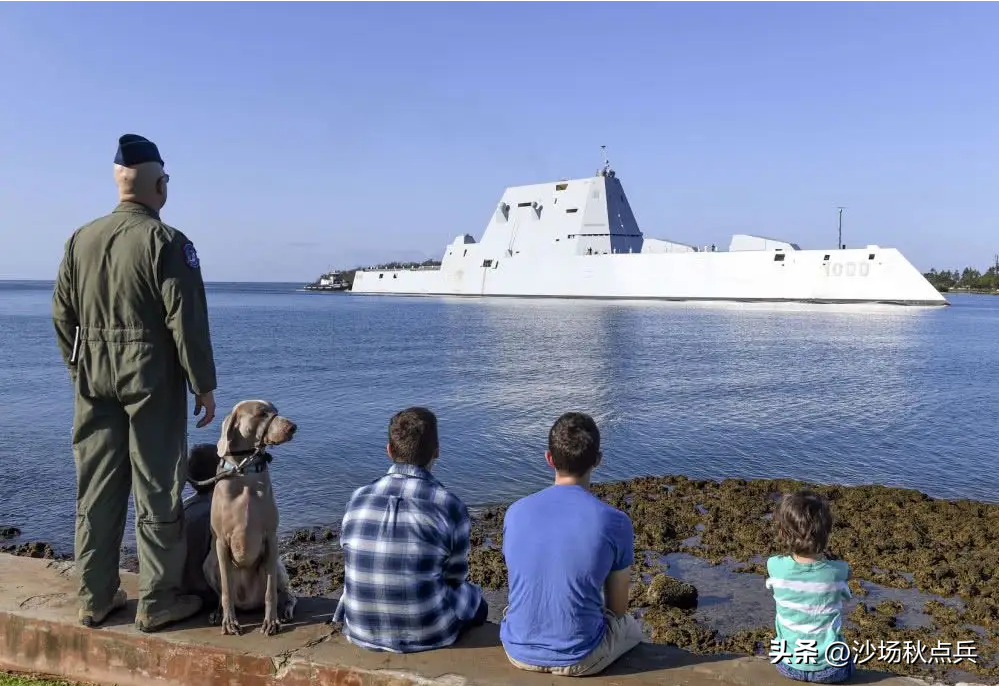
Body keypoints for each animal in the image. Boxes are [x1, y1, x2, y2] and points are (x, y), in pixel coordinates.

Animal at [201, 400, 296, 636]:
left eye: (276, 411)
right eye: (261, 413)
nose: (293, 427)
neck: (244, 471)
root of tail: (249, 604)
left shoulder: (270, 538)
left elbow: (270, 592)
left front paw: (271, 621)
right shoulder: (221, 542)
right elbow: (226, 590)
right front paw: (229, 622)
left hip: (276, 565)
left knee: (285, 593)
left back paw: (285, 609)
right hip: (208, 563)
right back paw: (217, 613)